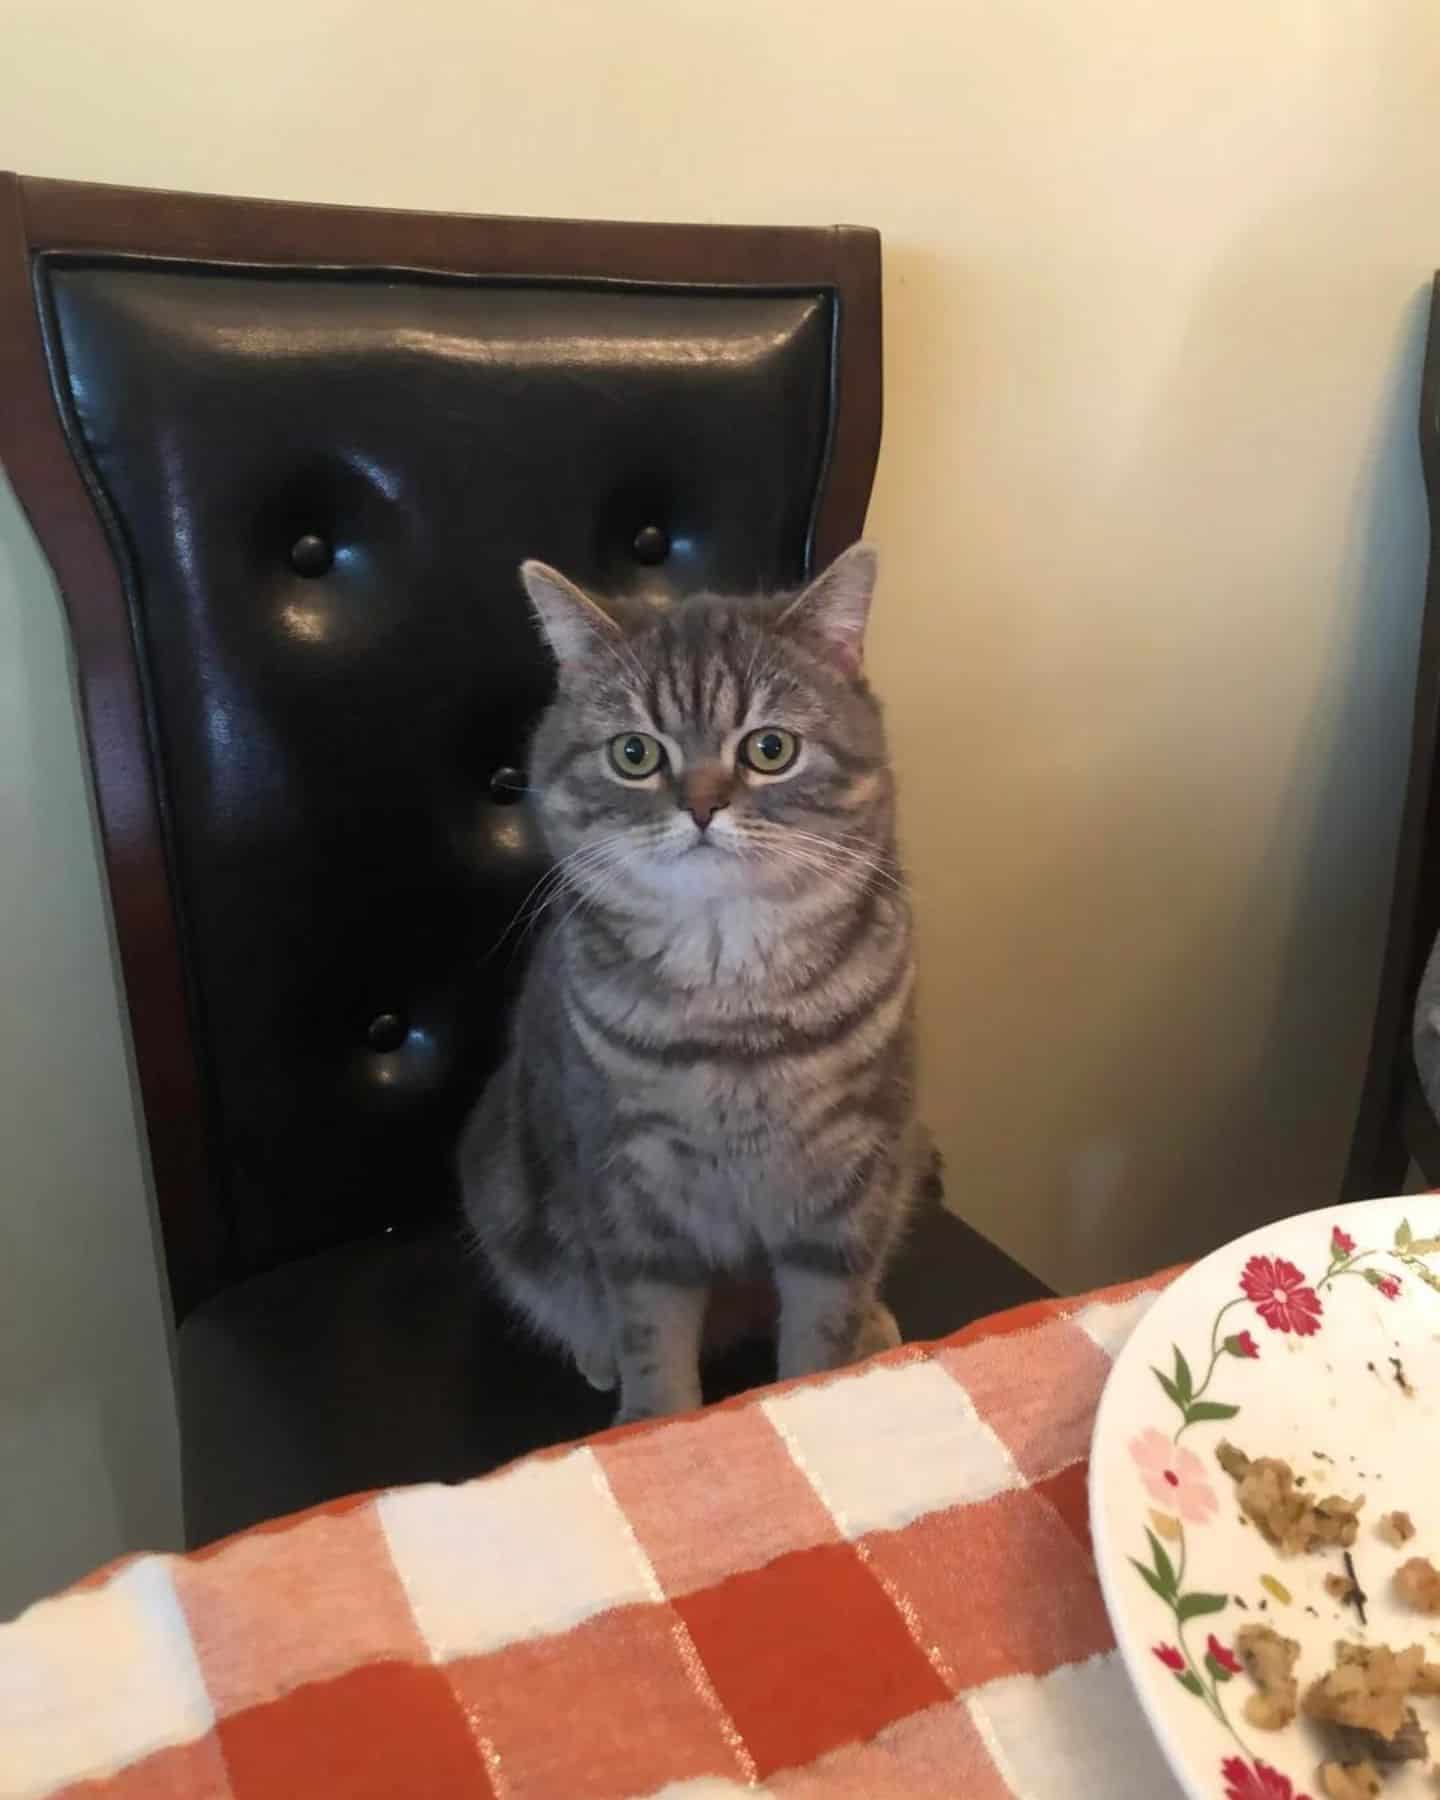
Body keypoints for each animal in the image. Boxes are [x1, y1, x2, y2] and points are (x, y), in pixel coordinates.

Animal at [464, 547, 921, 1418]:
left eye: (770, 749)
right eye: (634, 755)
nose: (703, 807)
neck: (730, 1001)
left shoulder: (849, 1181)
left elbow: (822, 1327)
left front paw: (820, 1391)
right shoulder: (631, 1186)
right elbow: (653, 1335)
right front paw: (653, 1422)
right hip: (508, 1187)